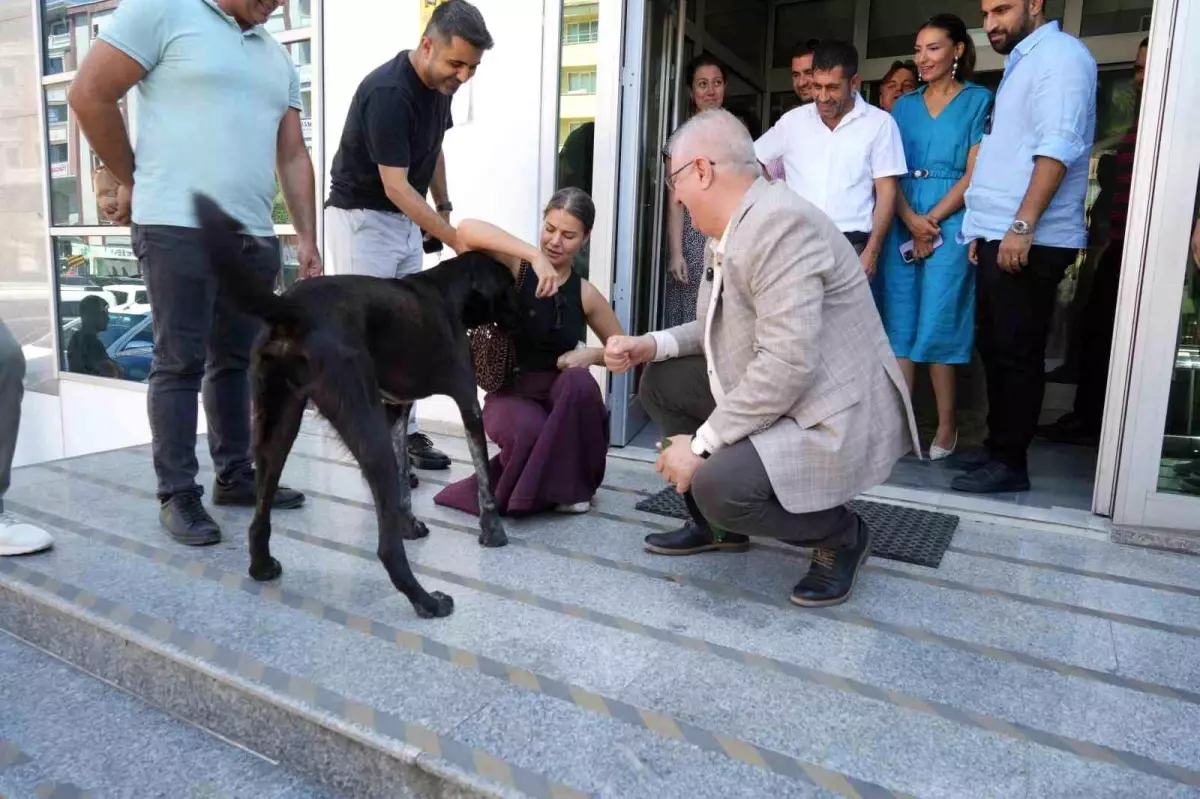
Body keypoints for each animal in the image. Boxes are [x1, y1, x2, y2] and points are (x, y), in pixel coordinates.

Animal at [194, 191, 518, 614]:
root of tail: (292, 309)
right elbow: (483, 477)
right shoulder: (467, 401)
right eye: (510, 285)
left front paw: (409, 524)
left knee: (259, 515)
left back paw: (262, 566)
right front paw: (493, 531)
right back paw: (426, 601)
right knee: (386, 550)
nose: (529, 309)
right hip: (362, 423)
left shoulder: (396, 409)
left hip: (277, 424)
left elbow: (403, 482)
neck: (448, 289)